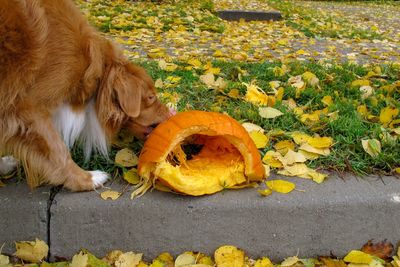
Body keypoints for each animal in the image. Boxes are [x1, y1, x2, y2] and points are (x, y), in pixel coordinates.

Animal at [0, 1, 170, 192]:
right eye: (151, 97)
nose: (170, 114)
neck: (93, 67)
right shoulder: (28, 109)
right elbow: (58, 150)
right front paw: (86, 179)